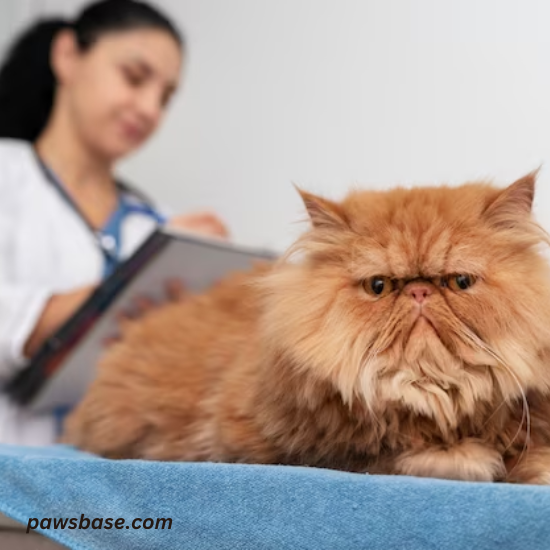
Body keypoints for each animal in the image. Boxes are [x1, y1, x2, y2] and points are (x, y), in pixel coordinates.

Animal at [63, 175, 550, 486]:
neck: (433, 391)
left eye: (460, 282)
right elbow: (384, 455)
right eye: (378, 287)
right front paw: (465, 459)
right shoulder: (267, 446)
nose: (418, 292)